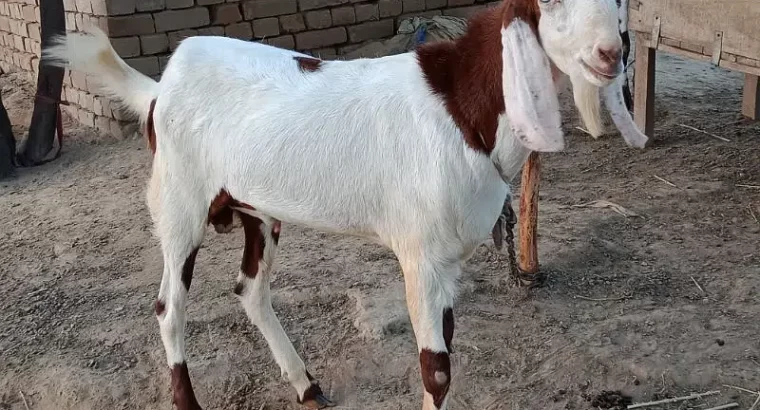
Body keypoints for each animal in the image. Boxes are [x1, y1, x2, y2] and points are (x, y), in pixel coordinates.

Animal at [43, 0, 648, 410]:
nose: (611, 55)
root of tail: (157, 91)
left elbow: (447, 351)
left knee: (251, 291)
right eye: (550, 5)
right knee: (169, 306)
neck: (461, 105)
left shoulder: (448, 260)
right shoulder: (421, 255)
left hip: (258, 210)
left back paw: (306, 385)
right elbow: (436, 369)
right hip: (180, 200)